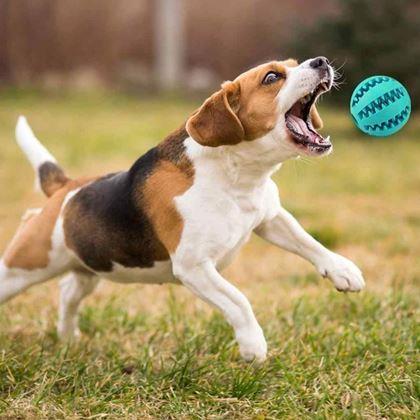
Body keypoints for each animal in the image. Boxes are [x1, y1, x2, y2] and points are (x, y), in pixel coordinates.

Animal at [0, 57, 364, 362]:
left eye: (294, 63)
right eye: (272, 77)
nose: (321, 61)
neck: (237, 175)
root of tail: (64, 189)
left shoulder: (270, 218)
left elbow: (309, 242)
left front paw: (343, 270)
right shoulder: (194, 267)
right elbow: (238, 300)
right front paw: (253, 344)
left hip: (90, 267)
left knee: (67, 292)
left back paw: (67, 338)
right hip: (23, 266)